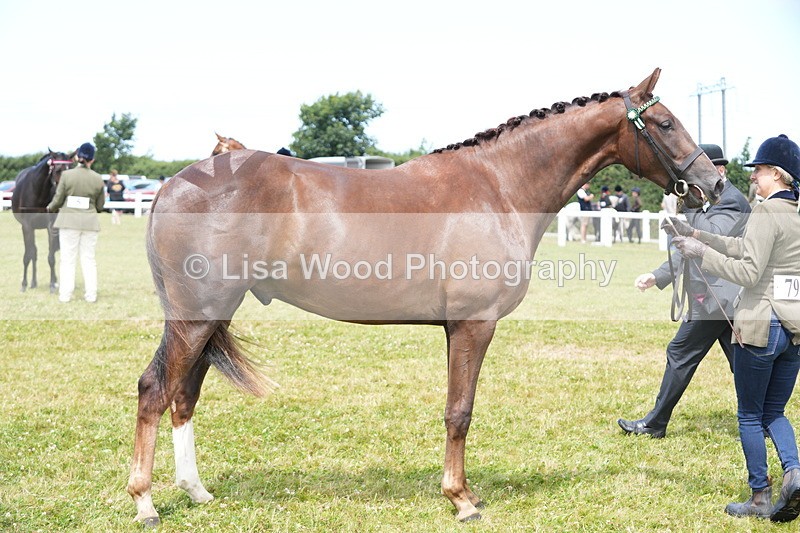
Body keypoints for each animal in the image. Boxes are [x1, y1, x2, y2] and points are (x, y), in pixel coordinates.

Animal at [11, 151, 74, 292]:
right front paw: (24, 284)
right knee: (33, 252)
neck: (38, 191)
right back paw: (33, 282)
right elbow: (28, 255)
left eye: (71, 169)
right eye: (58, 170)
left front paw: (52, 284)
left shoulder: (51, 226)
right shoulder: (27, 227)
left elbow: (51, 256)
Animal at [127, 69, 725, 526]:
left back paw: (196, 492)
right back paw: (146, 503)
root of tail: (173, 184)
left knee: (183, 395)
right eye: (665, 123)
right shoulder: (472, 325)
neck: (498, 187)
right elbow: (460, 411)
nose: (714, 184)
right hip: (196, 317)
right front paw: (461, 500)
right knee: (155, 390)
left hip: (210, 317)